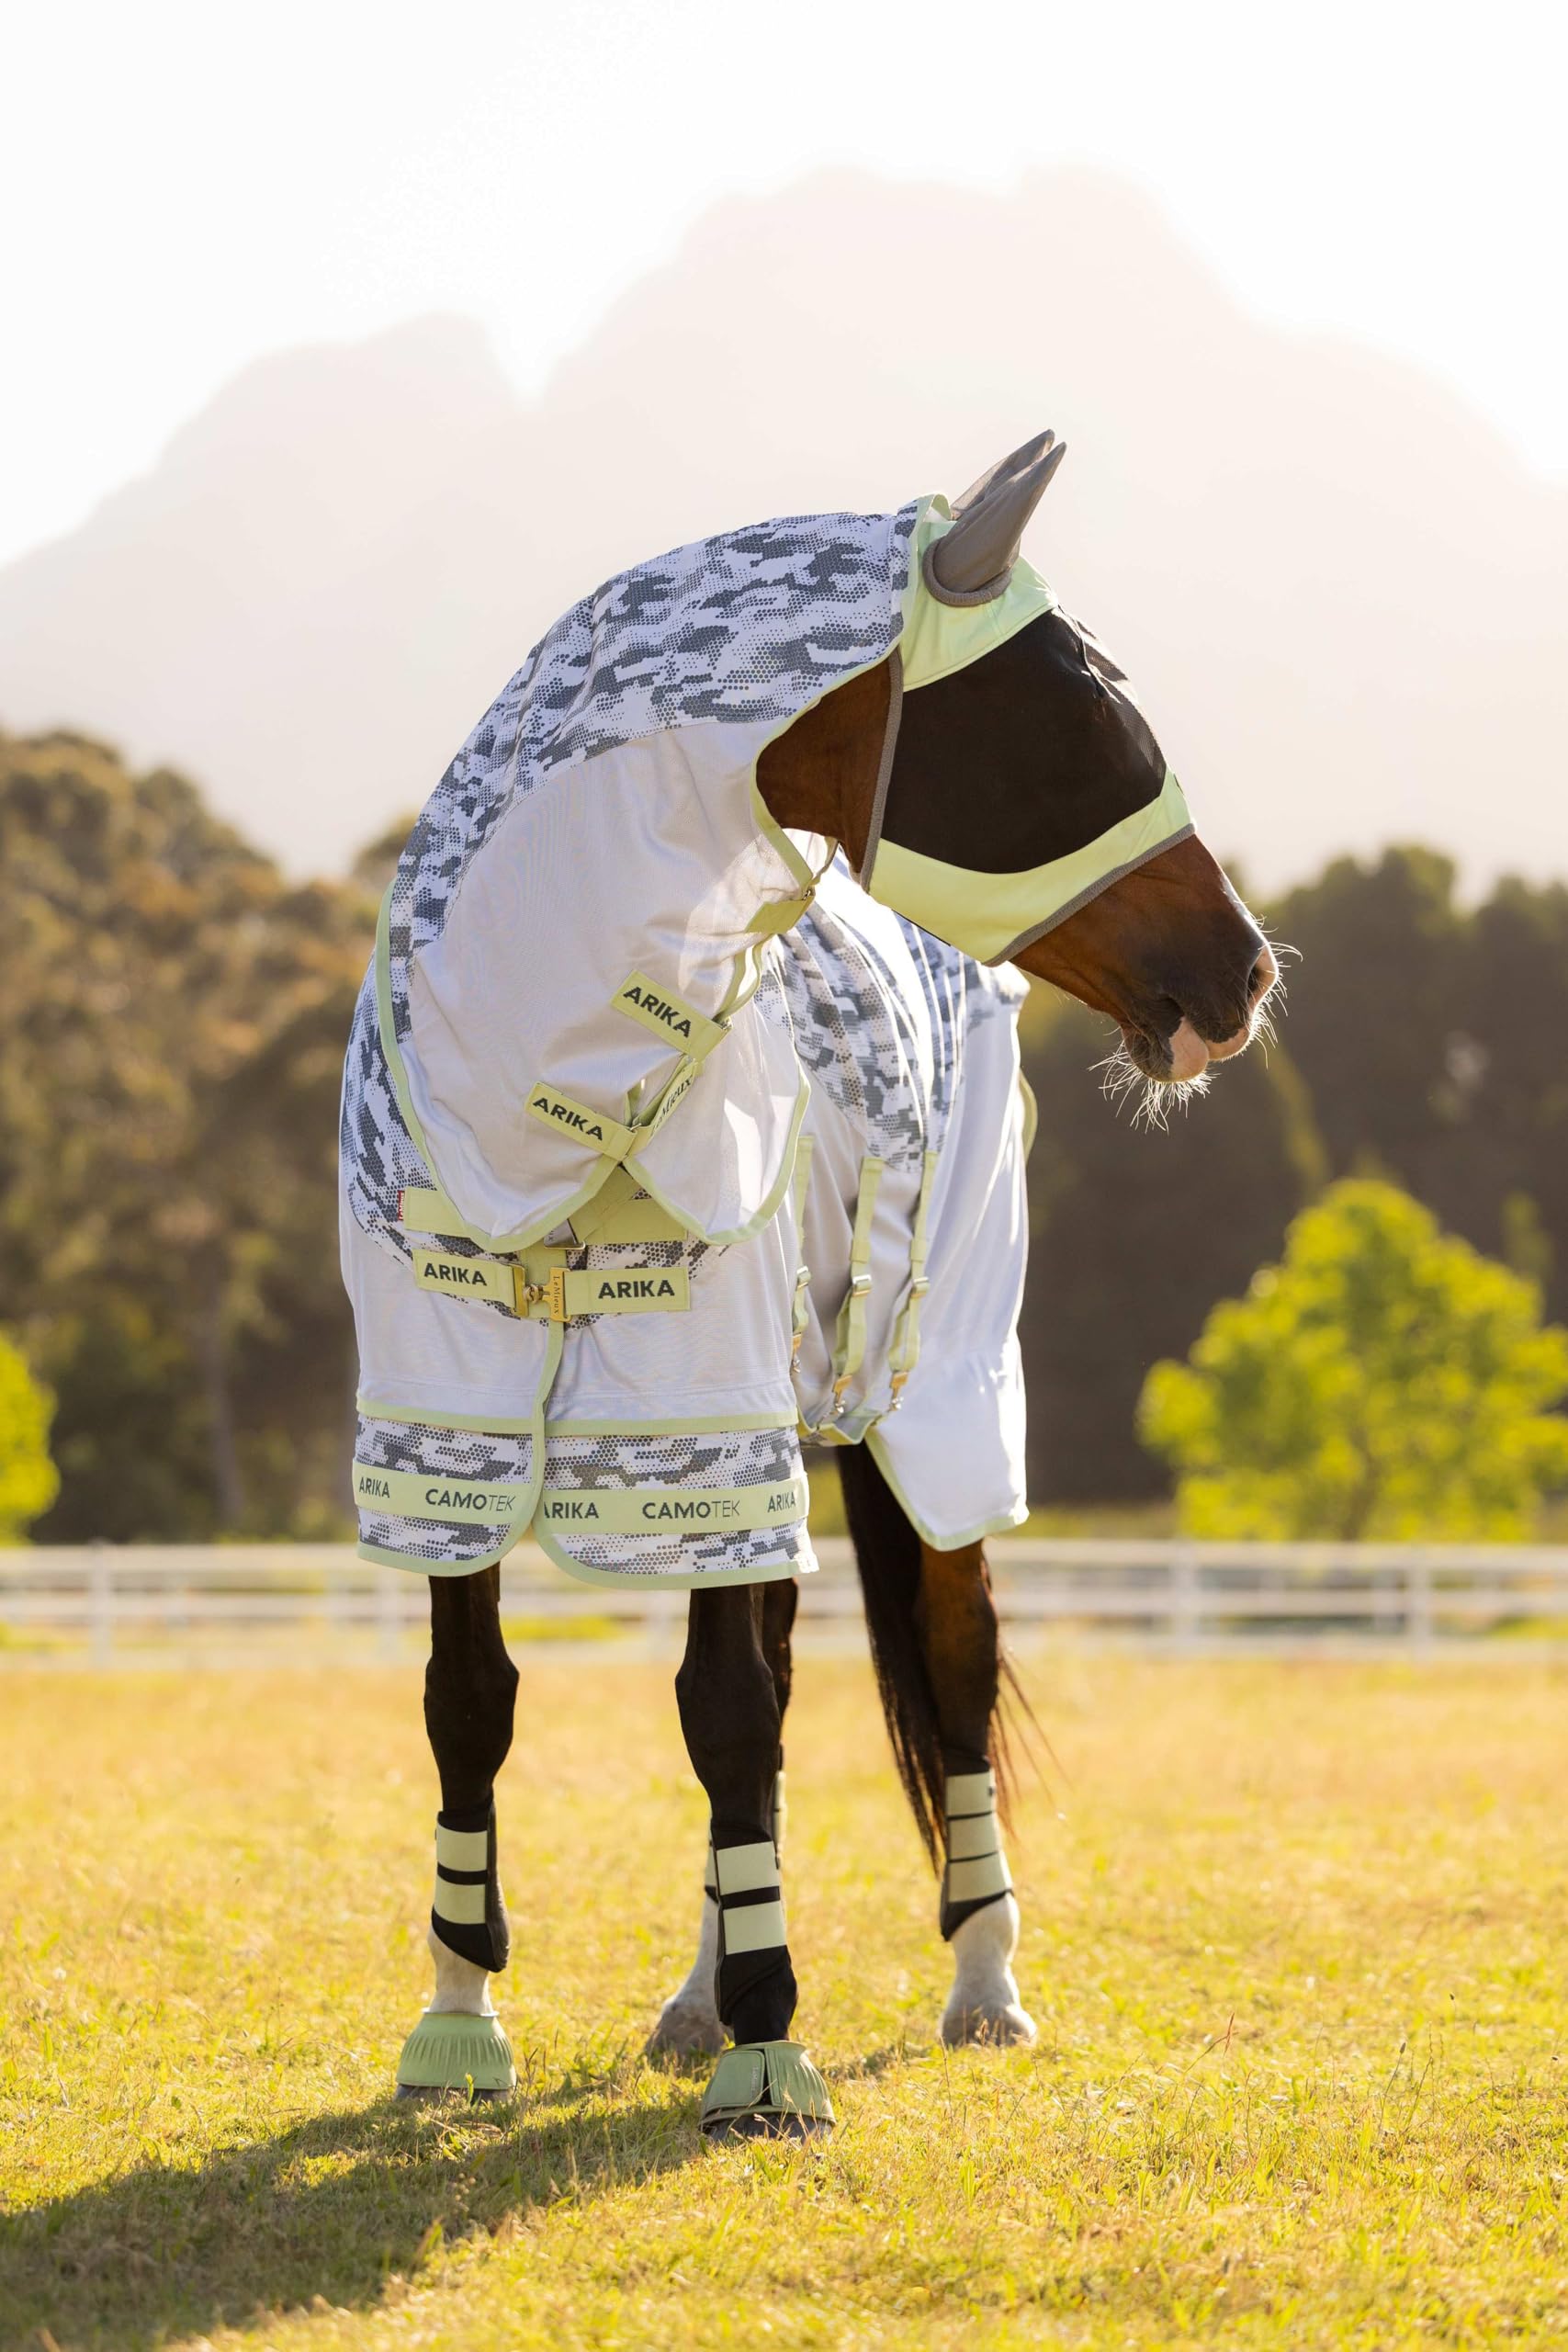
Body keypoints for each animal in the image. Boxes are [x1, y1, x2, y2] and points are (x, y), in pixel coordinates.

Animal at [339, 433, 1276, 2135]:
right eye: (1075, 710)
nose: (1237, 972)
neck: (537, 1112)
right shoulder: (442, 1424)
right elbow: (475, 1700)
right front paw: (455, 2025)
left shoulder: (698, 1407)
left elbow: (729, 1711)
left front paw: (773, 2060)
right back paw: (700, 1992)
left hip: (928, 1395)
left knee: (950, 1665)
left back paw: (982, 1987)